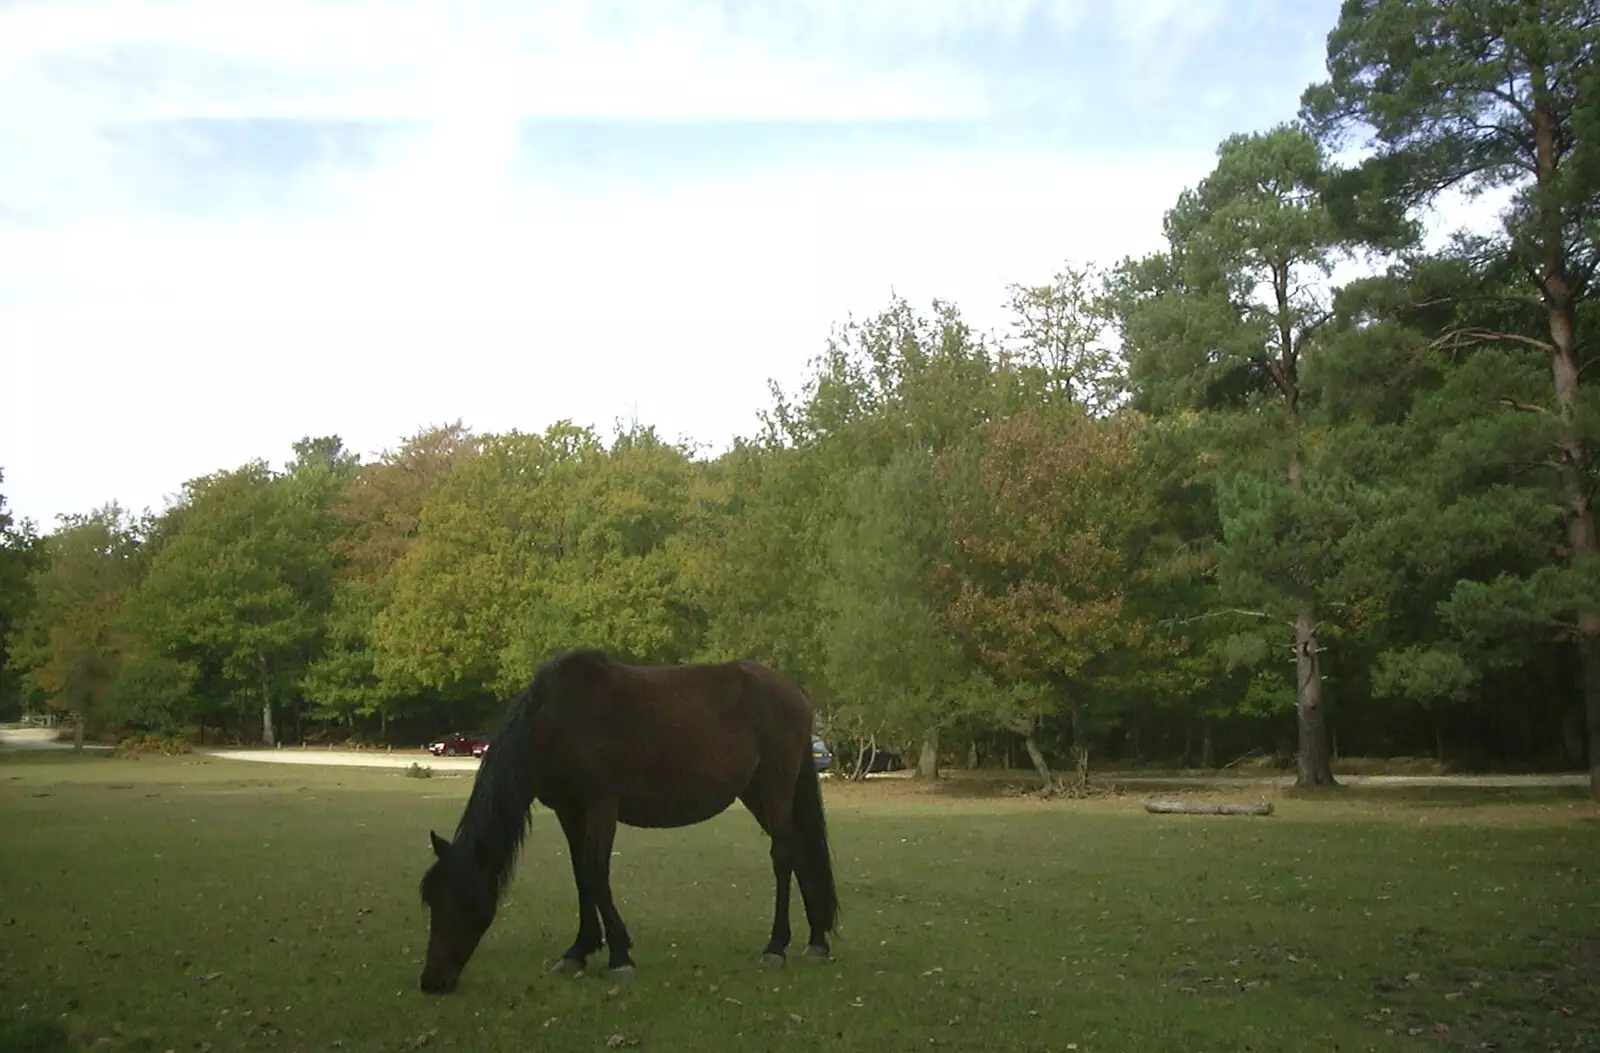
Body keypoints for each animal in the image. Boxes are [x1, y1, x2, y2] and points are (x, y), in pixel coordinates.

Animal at [416, 643, 838, 985]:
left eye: (464, 900)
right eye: (432, 900)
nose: (433, 981)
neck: (559, 720)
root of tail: (794, 694)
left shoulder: (601, 805)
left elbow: (595, 872)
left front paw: (619, 954)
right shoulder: (570, 810)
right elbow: (581, 876)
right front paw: (578, 951)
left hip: (774, 789)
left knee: (783, 856)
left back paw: (776, 946)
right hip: (756, 795)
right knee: (800, 853)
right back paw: (817, 941)